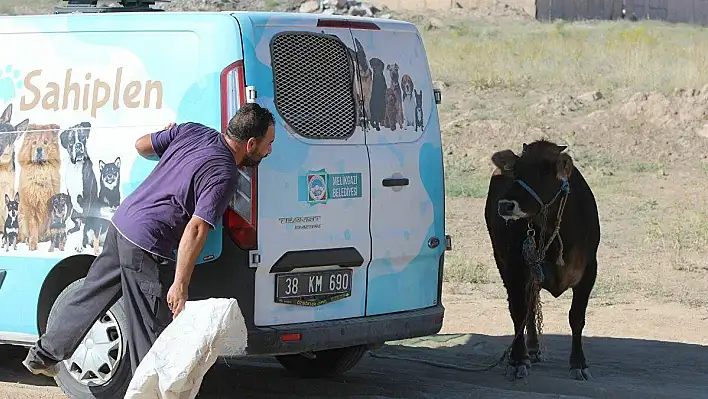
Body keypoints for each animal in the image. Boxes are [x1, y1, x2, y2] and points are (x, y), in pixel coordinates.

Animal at [484, 139, 600, 382]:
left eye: (544, 172)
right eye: (516, 171)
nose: (505, 205)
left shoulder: (589, 271)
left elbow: (577, 317)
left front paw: (579, 363)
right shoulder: (516, 269)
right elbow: (518, 312)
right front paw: (518, 360)